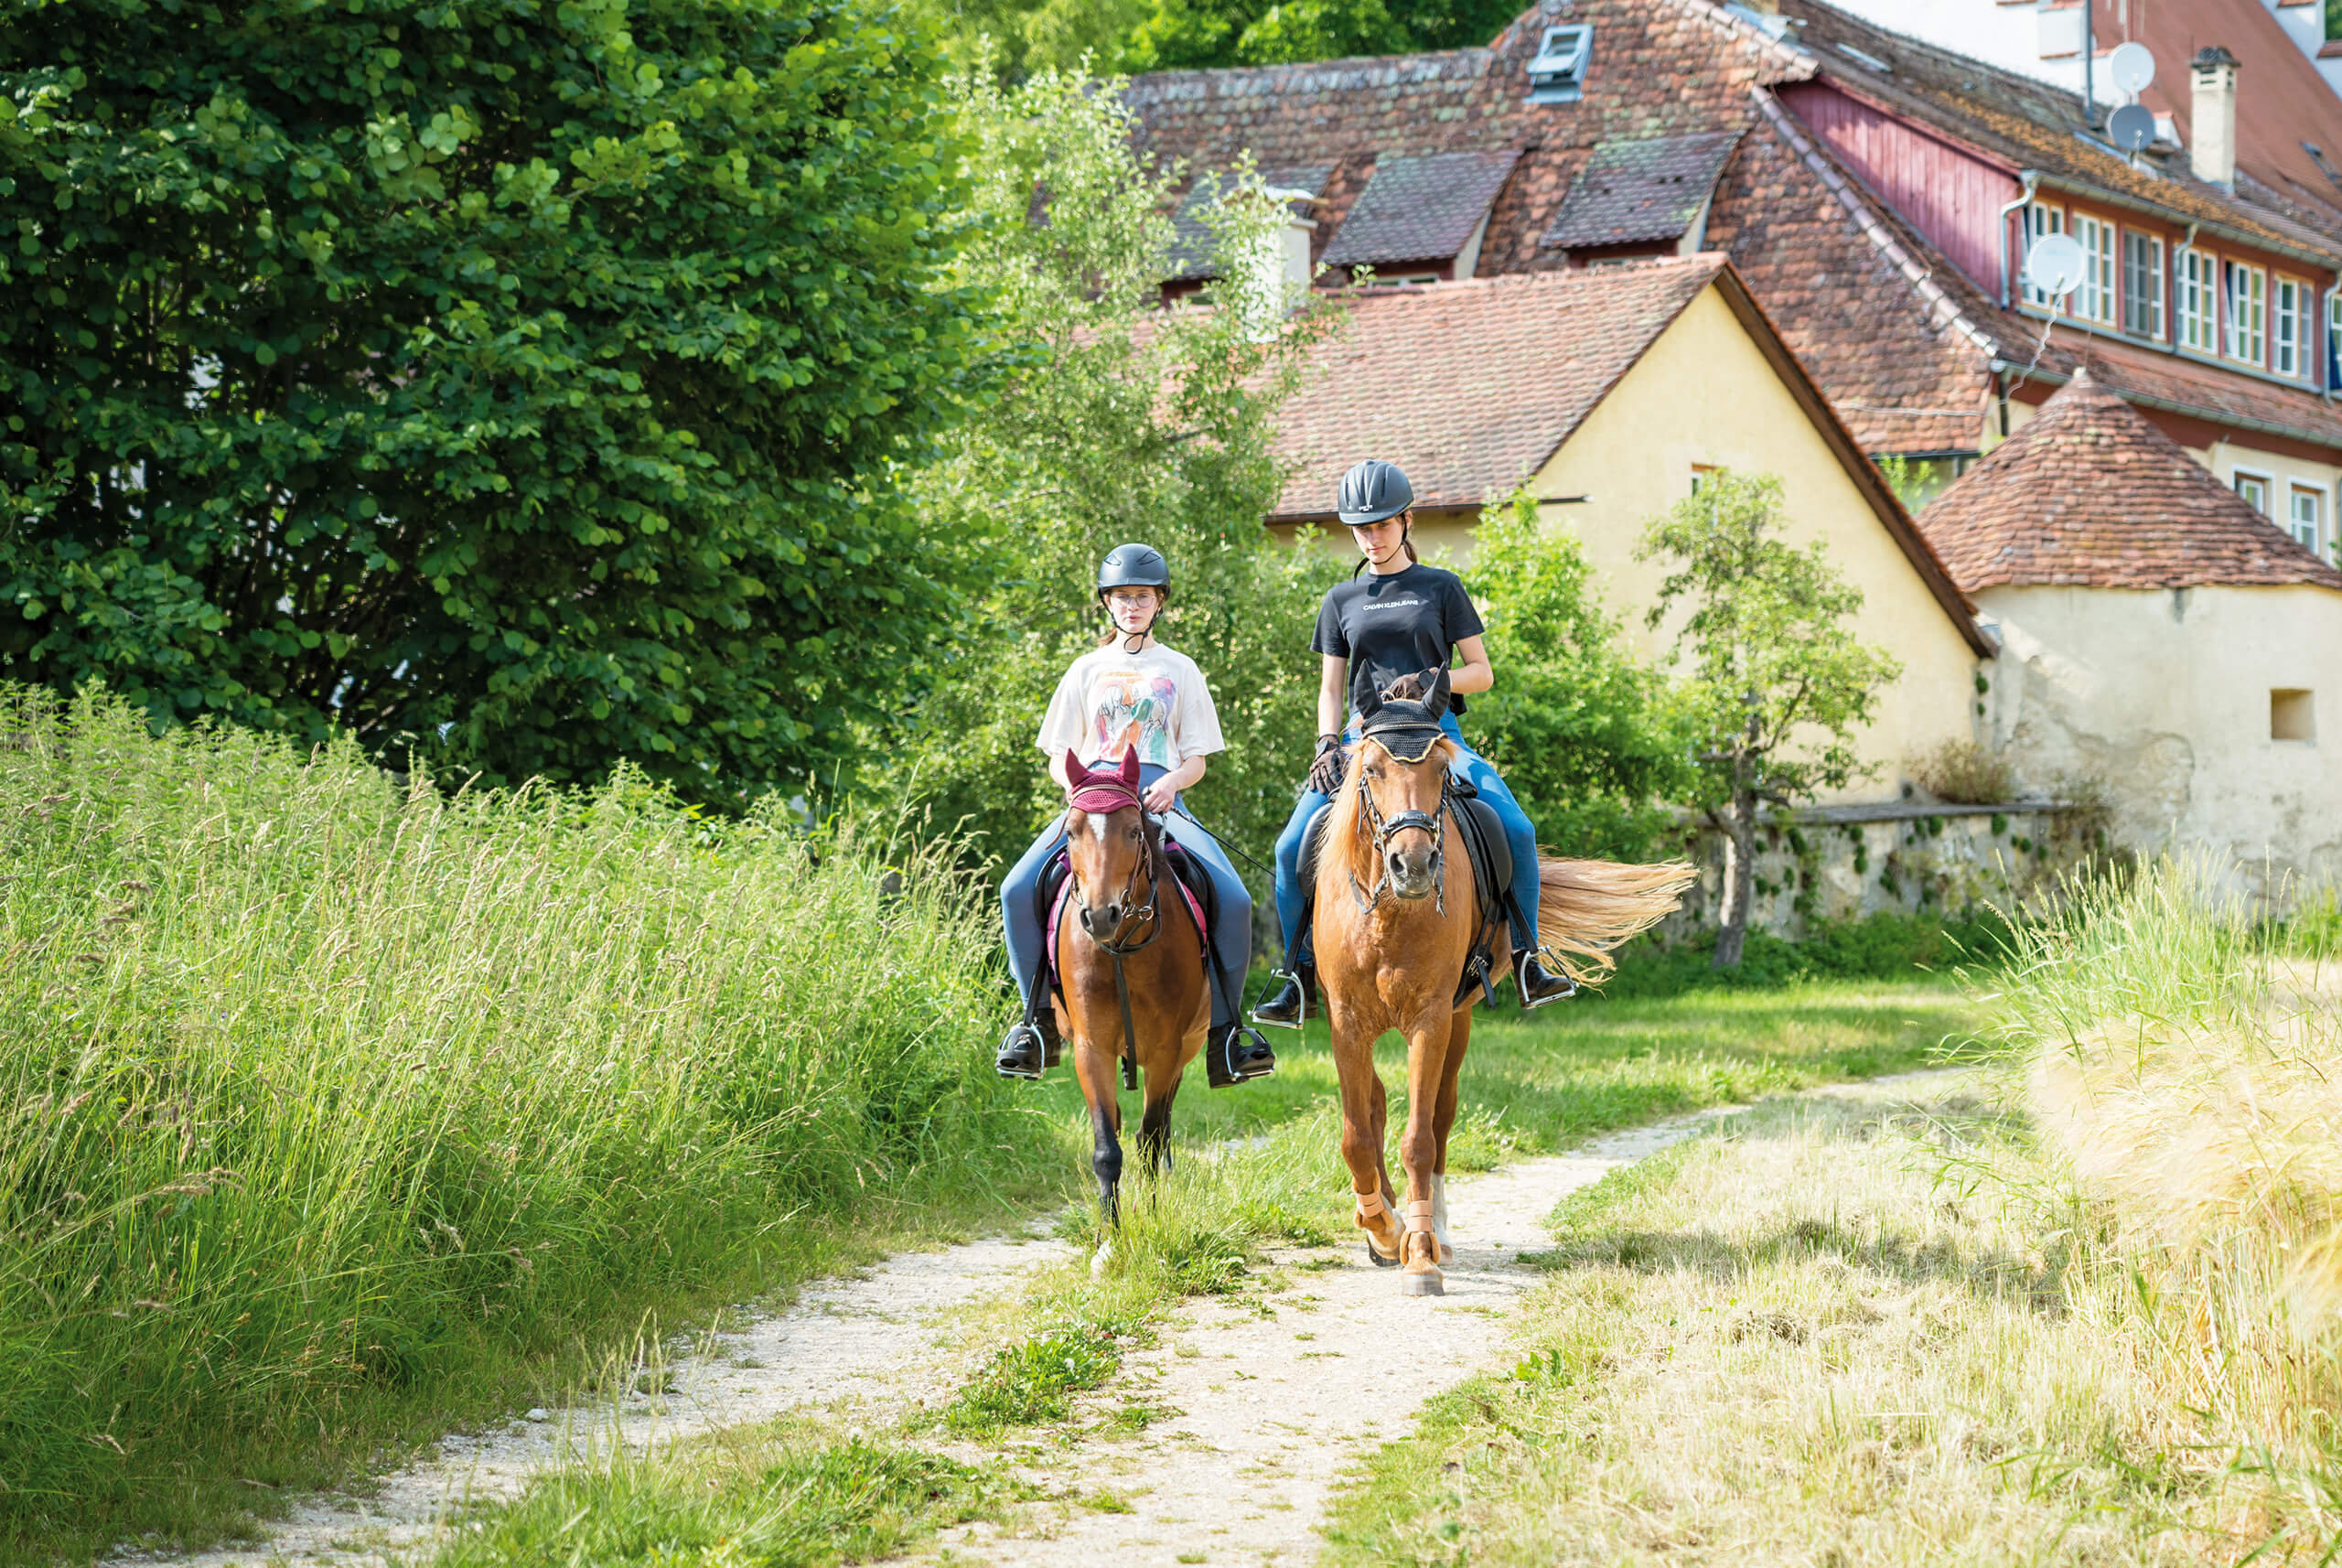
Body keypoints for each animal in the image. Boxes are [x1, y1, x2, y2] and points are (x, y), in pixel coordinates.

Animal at [1058, 748, 1208, 1263]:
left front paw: (1152, 1222)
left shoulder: (1166, 1053)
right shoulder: (1091, 1050)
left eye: (1132, 831)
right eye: (1071, 831)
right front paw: (1109, 1240)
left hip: (1186, 1051)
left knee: (1155, 1133)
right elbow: (1107, 1148)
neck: (1120, 949)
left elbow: (1149, 1141)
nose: (1099, 915)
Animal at [1311, 673, 1695, 1301]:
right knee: (1377, 1107)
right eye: (1371, 769)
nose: (1413, 865)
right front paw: (1382, 1228)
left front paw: (1419, 1255)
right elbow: (1357, 1134)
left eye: (1440, 770)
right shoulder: (1345, 1021)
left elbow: (1419, 1139)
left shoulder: (1431, 1018)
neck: (1390, 913)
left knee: (1440, 1120)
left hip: (1460, 1019)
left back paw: (1435, 1232)